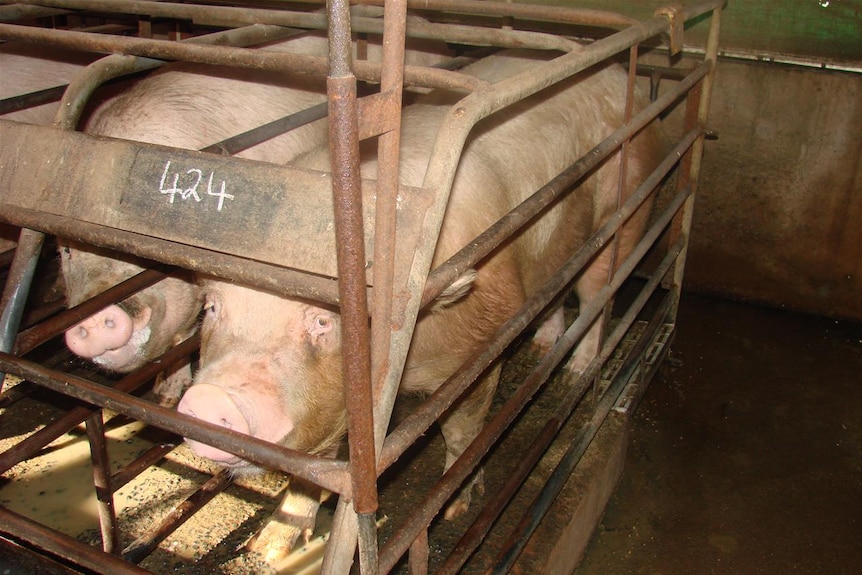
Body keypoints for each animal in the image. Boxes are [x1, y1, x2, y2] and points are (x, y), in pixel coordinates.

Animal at [174, 47, 660, 564]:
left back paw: (575, 369)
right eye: (212, 308)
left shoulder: (480, 340)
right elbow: (313, 471)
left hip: (626, 200)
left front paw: (454, 507)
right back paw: (543, 346)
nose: (209, 398)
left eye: (323, 319)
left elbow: (463, 430)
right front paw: (267, 549)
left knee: (598, 288)